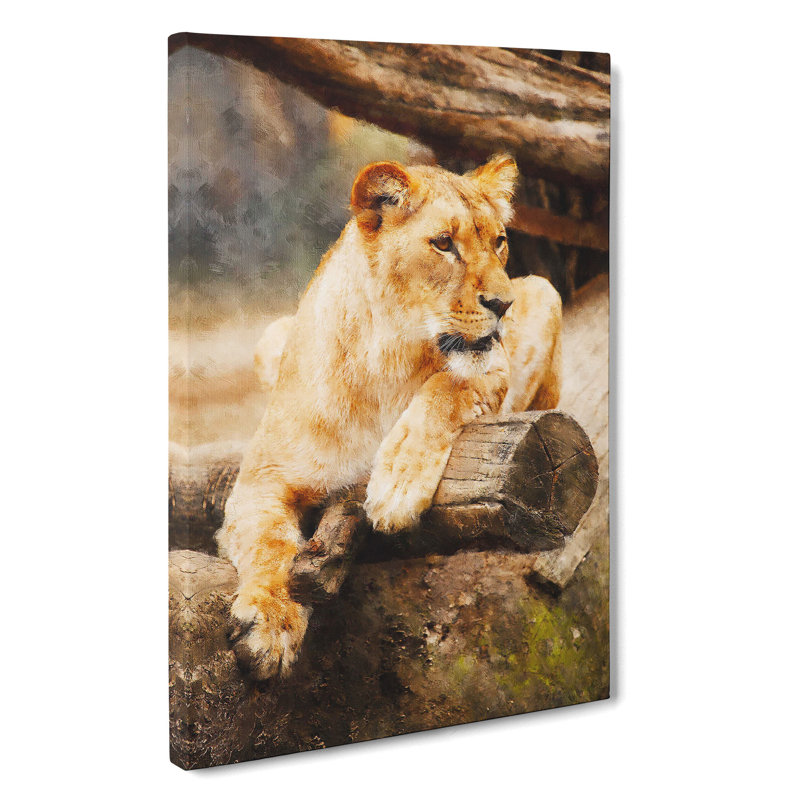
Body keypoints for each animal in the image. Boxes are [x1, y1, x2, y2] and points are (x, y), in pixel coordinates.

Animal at [218, 155, 562, 680]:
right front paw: (270, 625)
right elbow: (270, 544)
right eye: (443, 243)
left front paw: (396, 485)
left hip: (544, 291)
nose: (504, 305)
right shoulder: (261, 480)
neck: (388, 358)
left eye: (499, 241)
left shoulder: (492, 366)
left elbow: (446, 387)